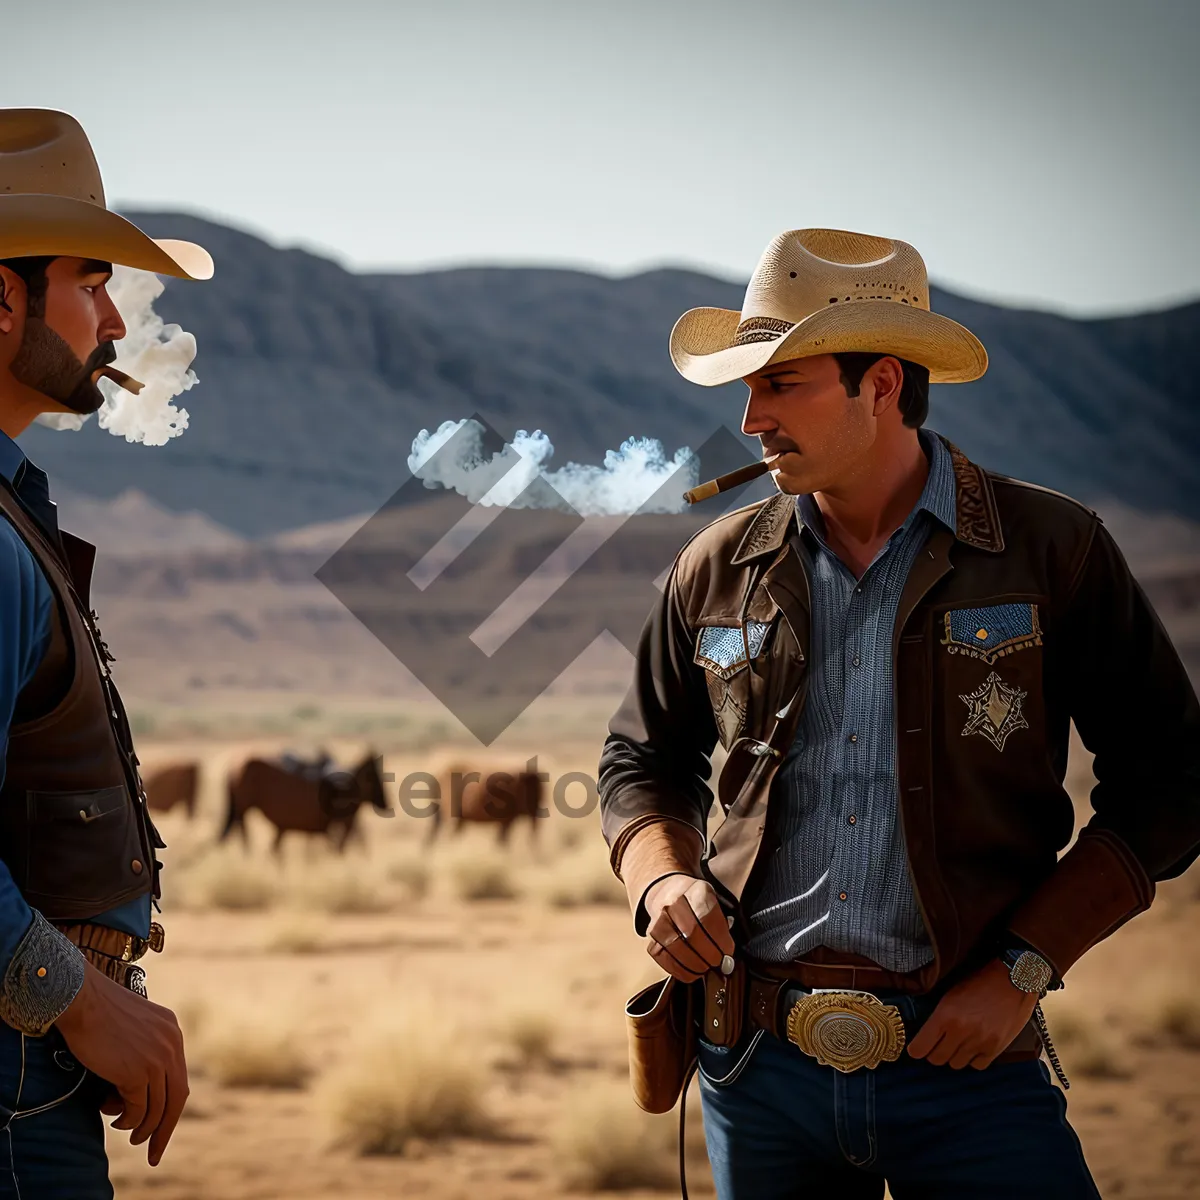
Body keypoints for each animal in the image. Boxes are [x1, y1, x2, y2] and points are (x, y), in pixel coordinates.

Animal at [220, 748, 388, 854]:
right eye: (374, 777)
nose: (385, 804)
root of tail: (233, 769)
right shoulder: (342, 825)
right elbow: (338, 847)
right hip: (243, 809)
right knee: (244, 831)